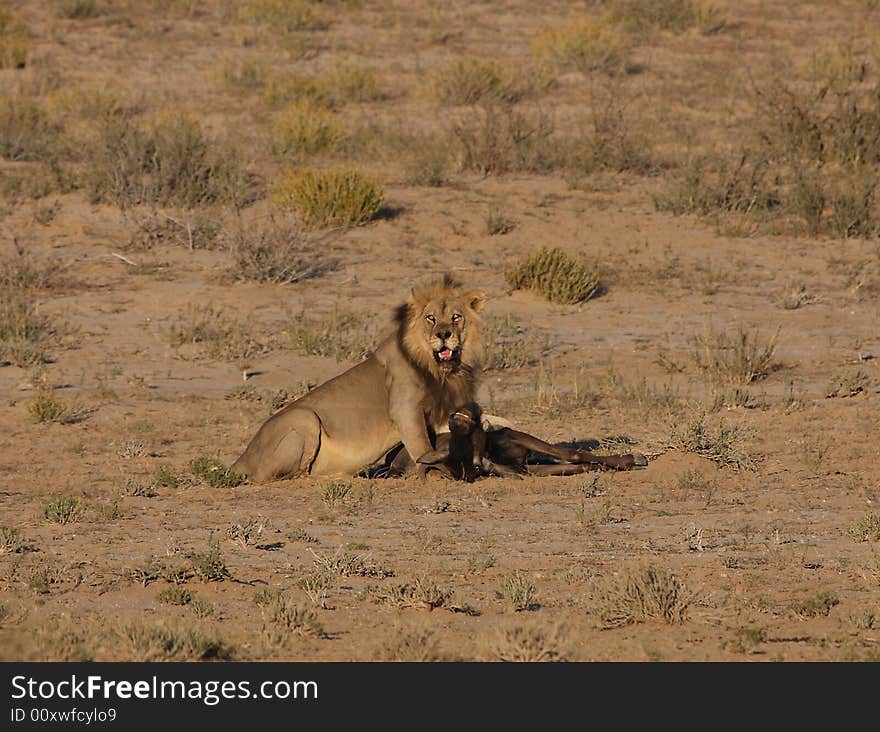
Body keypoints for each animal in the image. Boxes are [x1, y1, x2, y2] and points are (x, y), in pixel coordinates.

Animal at [230, 274, 484, 480]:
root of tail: (242, 458)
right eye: (430, 318)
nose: (443, 334)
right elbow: (422, 445)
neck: (441, 371)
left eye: (456, 317)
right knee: (294, 475)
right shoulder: (405, 409)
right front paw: (432, 473)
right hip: (305, 418)